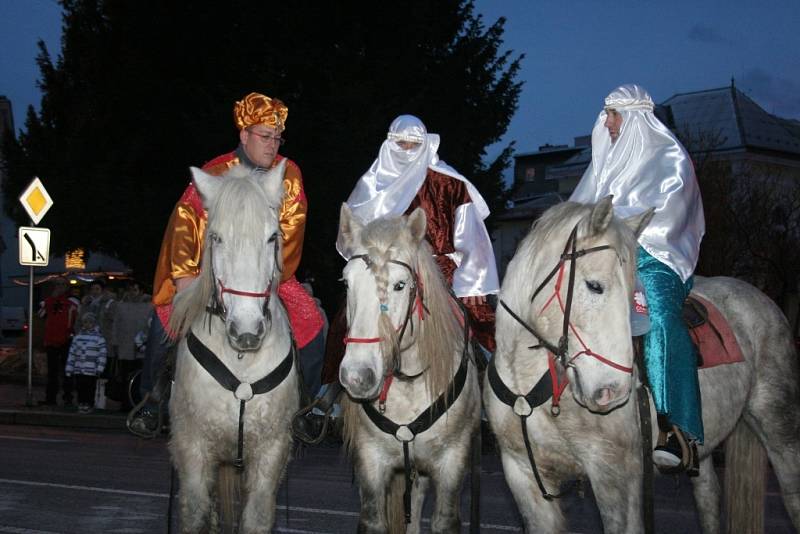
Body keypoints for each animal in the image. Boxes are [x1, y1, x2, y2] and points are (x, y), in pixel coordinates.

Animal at [167, 163, 298, 534]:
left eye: (272, 237)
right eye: (216, 237)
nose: (247, 331)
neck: (241, 364)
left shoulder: (270, 451)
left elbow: (256, 518)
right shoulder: (193, 448)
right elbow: (196, 515)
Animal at [334, 204, 478, 532]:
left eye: (400, 285)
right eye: (347, 284)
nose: (356, 376)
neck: (409, 384)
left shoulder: (452, 462)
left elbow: (443, 521)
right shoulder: (370, 460)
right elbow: (374, 520)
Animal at [482, 198, 800, 534]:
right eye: (594, 286)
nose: (613, 392)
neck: (530, 385)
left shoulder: (617, 476)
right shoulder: (524, 476)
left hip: (779, 426)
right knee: (709, 497)